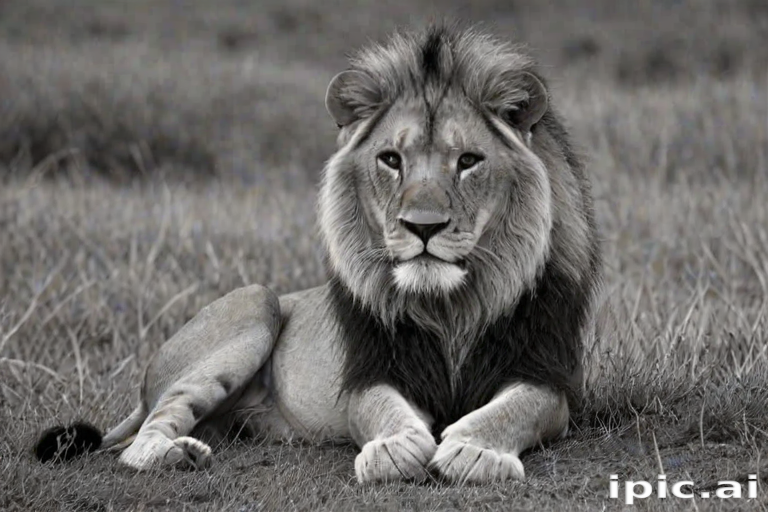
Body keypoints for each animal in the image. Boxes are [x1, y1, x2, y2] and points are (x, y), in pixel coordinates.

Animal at [35, 23, 602, 484]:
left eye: (468, 161)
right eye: (390, 160)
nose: (422, 227)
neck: (450, 307)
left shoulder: (549, 378)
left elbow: (516, 409)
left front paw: (473, 449)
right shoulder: (369, 373)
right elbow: (382, 410)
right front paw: (394, 448)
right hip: (255, 300)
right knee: (142, 436)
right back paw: (176, 454)